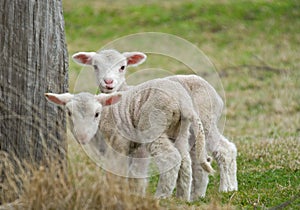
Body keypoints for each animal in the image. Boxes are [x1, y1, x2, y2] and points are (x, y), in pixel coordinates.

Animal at [44, 78, 214, 201]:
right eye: (69, 113)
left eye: (97, 114)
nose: (82, 137)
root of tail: (184, 103)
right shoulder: (132, 148)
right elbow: (135, 174)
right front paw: (134, 193)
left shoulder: (119, 143)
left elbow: (120, 171)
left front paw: (116, 194)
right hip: (180, 129)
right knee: (185, 161)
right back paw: (181, 198)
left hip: (153, 125)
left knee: (171, 157)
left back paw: (161, 197)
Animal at [71, 49, 238, 199]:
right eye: (95, 66)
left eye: (122, 67)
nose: (108, 82)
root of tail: (215, 94)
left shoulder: (135, 145)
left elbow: (135, 171)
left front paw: (135, 193)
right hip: (191, 130)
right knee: (199, 160)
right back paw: (200, 195)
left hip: (201, 120)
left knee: (223, 150)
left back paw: (225, 188)